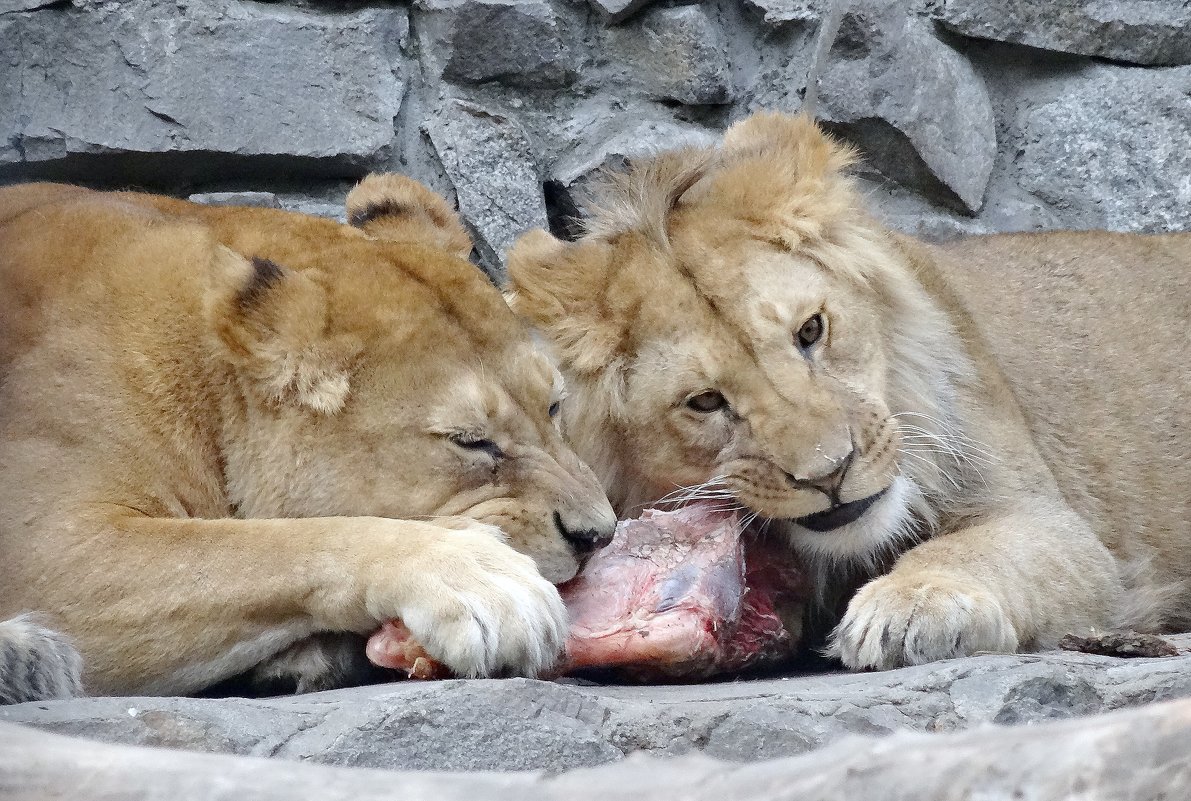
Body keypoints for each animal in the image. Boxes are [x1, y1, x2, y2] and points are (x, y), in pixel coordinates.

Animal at [0, 176, 614, 699]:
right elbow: (274, 545)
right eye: (469, 441)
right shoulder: (45, 549)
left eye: (553, 406)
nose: (599, 535)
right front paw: (482, 580)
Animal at [507, 110, 1191, 666]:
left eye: (811, 330)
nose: (831, 473)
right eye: (705, 402)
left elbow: (972, 552)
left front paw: (909, 608)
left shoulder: (1052, 523)